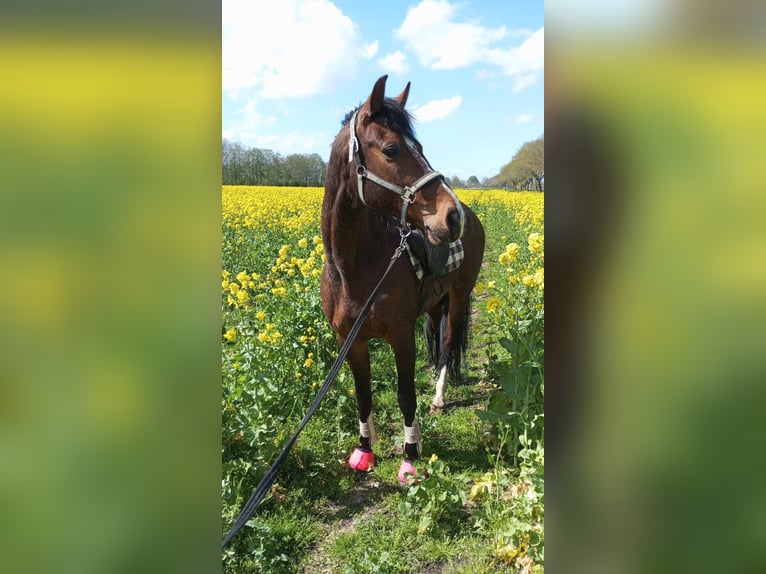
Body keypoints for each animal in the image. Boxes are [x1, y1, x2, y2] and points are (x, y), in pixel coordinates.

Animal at [322, 74, 488, 484]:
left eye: (421, 147)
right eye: (392, 149)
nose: (453, 216)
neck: (352, 269)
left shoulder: (400, 336)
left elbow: (405, 395)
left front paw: (410, 458)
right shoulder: (350, 341)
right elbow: (363, 395)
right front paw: (364, 451)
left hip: (459, 296)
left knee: (447, 344)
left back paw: (439, 397)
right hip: (433, 303)